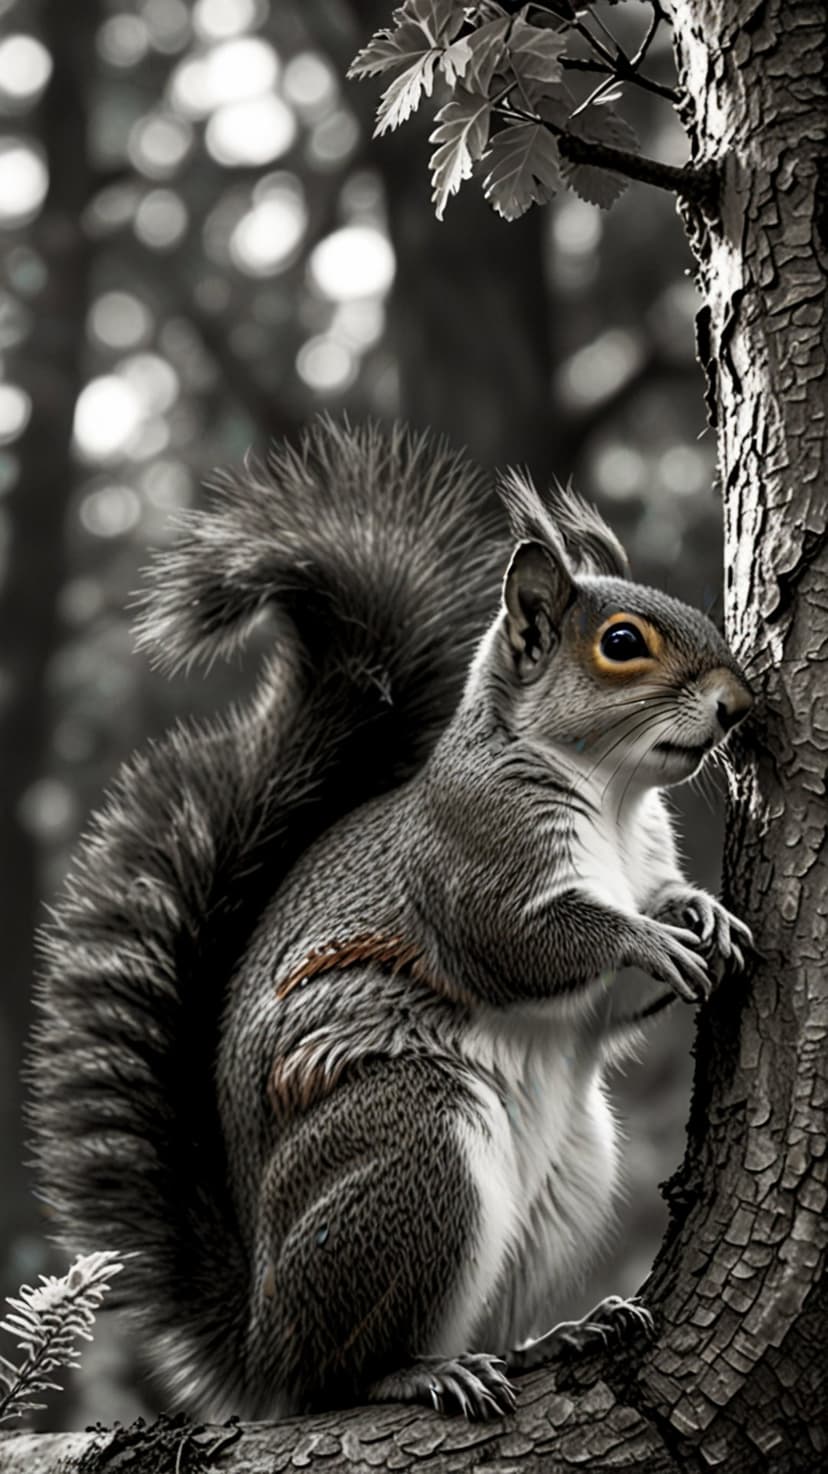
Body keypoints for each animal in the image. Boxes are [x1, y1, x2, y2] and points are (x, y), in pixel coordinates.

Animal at [29, 416, 754, 1423]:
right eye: (621, 642)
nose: (739, 705)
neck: (611, 794)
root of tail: (259, 1344)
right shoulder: (473, 861)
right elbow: (528, 945)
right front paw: (643, 937)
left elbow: (615, 984)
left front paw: (699, 911)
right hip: (414, 1145)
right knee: (339, 1376)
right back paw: (417, 1373)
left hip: (569, 1180)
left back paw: (557, 1336)